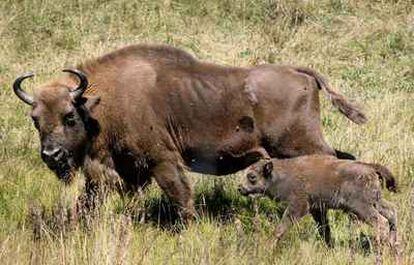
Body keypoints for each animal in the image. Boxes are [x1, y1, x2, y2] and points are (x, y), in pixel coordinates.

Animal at [12, 44, 366, 220]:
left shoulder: (162, 161)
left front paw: (188, 227)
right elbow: (90, 200)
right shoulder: (125, 171)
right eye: (35, 119)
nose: (51, 155)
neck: (102, 100)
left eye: (70, 116)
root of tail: (300, 73)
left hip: (299, 146)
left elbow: (179, 194)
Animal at [239, 155, 402, 258]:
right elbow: (324, 229)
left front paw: (268, 248)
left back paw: (382, 252)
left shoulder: (298, 206)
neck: (282, 174)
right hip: (376, 202)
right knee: (392, 213)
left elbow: (281, 228)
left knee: (381, 222)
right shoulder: (317, 209)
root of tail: (370, 168)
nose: (240, 188)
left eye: (252, 176)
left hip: (362, 207)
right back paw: (394, 247)